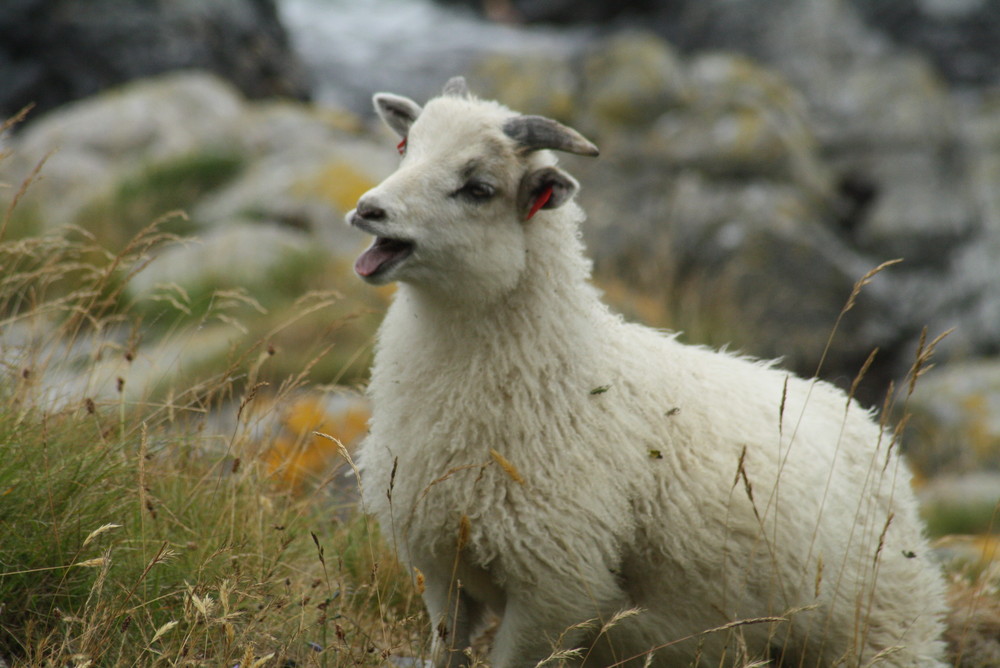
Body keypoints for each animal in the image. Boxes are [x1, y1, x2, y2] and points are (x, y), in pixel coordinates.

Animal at [348, 78, 948, 668]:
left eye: (478, 187)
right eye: (406, 148)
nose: (367, 211)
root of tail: (862, 418)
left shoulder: (555, 586)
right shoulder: (441, 568)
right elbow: (445, 646)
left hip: (884, 629)